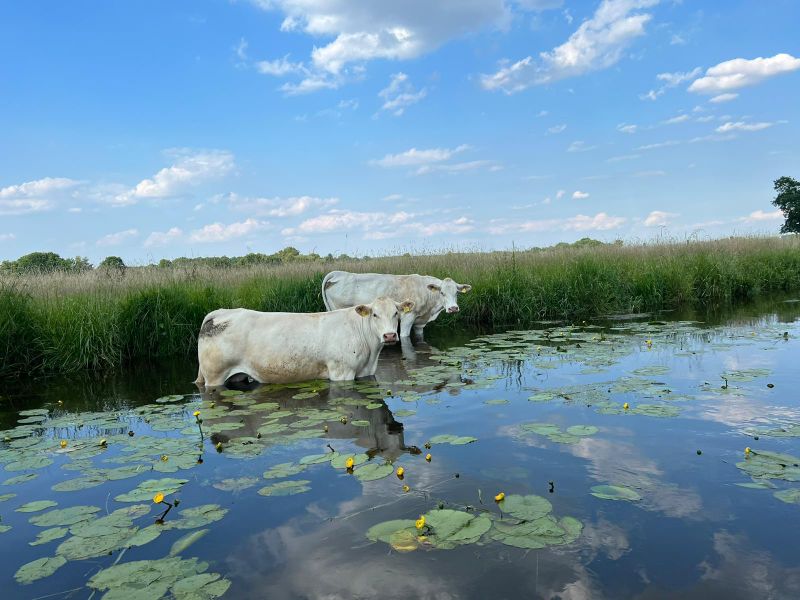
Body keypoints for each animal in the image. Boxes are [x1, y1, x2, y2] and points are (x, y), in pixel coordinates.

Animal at [197, 296, 416, 390]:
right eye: (375, 315)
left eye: (396, 313)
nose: (389, 336)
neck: (371, 354)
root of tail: (220, 313)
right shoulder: (341, 372)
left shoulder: (365, 373)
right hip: (214, 376)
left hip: (237, 376)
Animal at [320, 270, 468, 338]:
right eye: (442, 292)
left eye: (457, 292)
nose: (453, 308)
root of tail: (338, 274)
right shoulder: (408, 317)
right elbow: (404, 336)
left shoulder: (420, 322)